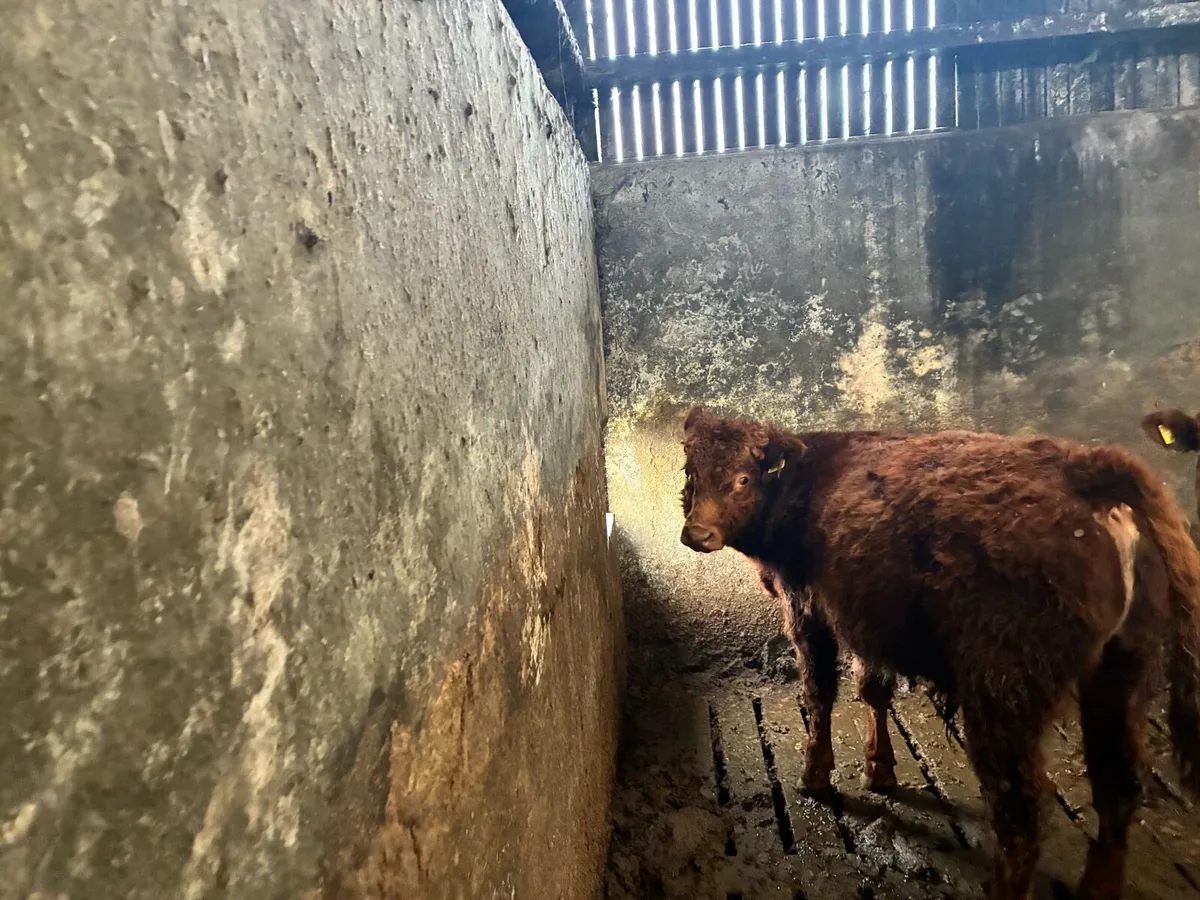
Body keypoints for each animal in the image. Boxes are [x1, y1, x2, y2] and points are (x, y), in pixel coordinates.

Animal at [678, 406, 1200, 900]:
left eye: (743, 478)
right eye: (691, 472)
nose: (696, 534)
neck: (806, 479)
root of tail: (1087, 469)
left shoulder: (806, 605)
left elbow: (820, 691)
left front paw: (815, 775)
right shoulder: (870, 618)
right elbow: (873, 688)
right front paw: (880, 769)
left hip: (1004, 692)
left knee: (1020, 808)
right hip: (1119, 675)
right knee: (1118, 786)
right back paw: (1098, 886)